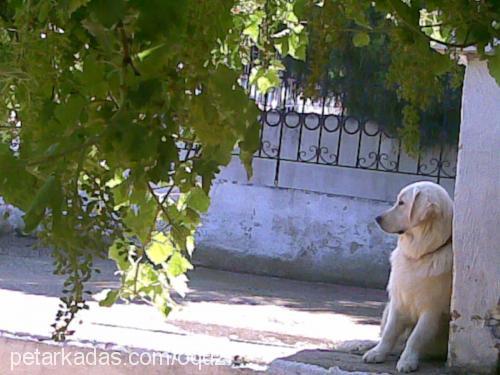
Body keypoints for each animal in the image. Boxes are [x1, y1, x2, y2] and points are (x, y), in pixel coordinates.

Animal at [364, 181, 454, 374]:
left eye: (402, 203)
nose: (377, 218)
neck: (420, 255)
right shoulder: (398, 302)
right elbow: (389, 333)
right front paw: (377, 353)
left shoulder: (432, 311)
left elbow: (416, 337)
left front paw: (407, 361)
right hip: (387, 308)